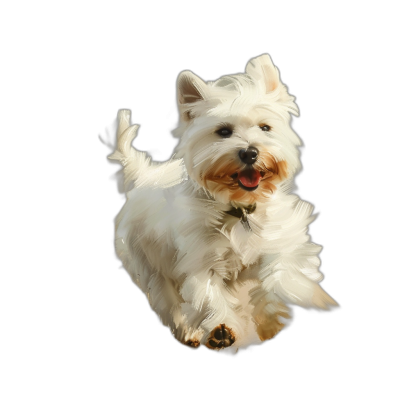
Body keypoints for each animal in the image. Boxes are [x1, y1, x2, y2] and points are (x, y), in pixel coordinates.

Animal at [108, 54, 340, 354]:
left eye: (265, 127)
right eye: (223, 132)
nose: (250, 152)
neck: (241, 208)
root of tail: (145, 174)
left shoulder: (279, 243)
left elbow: (277, 275)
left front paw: (273, 319)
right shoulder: (200, 259)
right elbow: (208, 295)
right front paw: (222, 330)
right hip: (149, 265)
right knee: (167, 301)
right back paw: (189, 333)